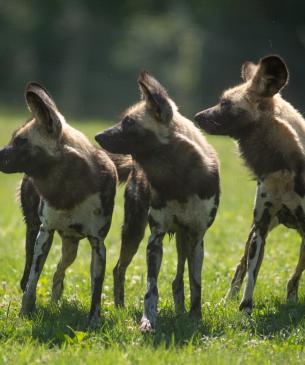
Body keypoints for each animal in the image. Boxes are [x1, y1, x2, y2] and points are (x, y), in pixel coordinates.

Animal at [0, 82, 119, 322]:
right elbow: (32, 282)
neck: (70, 186)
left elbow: (97, 290)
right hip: (34, 232)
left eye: (20, 141)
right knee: (30, 274)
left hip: (71, 247)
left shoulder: (97, 243)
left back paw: (56, 302)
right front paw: (25, 313)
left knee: (58, 271)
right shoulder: (44, 233)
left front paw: (94, 321)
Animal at [95, 70, 218, 330]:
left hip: (183, 239)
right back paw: (120, 307)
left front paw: (195, 317)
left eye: (129, 123)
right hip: (134, 232)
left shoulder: (197, 237)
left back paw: (181, 311)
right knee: (118, 269)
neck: (178, 178)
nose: (97, 135)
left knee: (178, 279)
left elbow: (196, 283)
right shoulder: (155, 238)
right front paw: (148, 321)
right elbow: (151, 288)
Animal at [194, 55, 304, 314]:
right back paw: (227, 300)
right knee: (240, 268)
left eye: (225, 103)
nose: (196, 117)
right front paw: (245, 310)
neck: (283, 168)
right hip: (255, 232)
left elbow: (295, 274)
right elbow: (252, 275)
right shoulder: (260, 227)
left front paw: (291, 298)